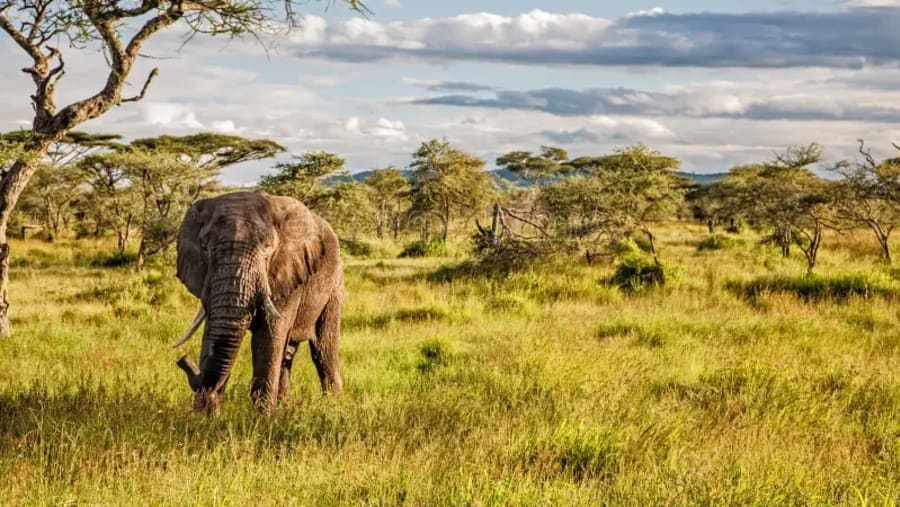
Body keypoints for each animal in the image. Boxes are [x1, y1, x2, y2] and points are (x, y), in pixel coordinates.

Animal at [172, 191, 343, 414]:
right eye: (205, 248)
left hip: (334, 285)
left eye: (267, 248)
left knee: (323, 351)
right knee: (287, 355)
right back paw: (285, 406)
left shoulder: (286, 273)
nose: (182, 359)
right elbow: (211, 331)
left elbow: (269, 335)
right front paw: (204, 416)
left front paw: (261, 419)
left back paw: (333, 407)